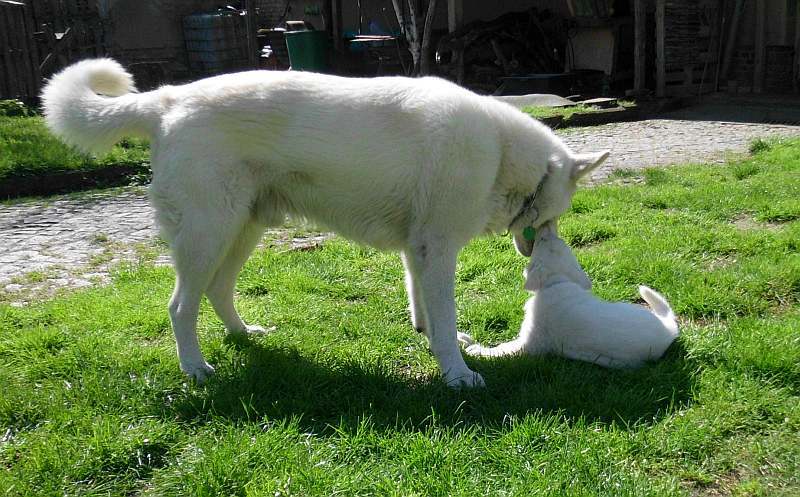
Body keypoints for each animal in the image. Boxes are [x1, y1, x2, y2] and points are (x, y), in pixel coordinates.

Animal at [40, 57, 608, 384]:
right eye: (555, 217)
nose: (538, 248)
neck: (501, 153)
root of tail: (167, 99)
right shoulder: (437, 248)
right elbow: (445, 318)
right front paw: (457, 373)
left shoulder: (418, 250)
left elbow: (424, 307)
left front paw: (429, 341)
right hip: (208, 235)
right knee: (180, 305)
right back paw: (196, 368)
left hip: (242, 231)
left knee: (217, 292)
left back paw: (244, 334)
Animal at [460, 223, 680, 366]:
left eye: (541, 240)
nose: (545, 229)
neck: (558, 281)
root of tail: (670, 330)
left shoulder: (530, 343)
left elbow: (503, 348)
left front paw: (477, 350)